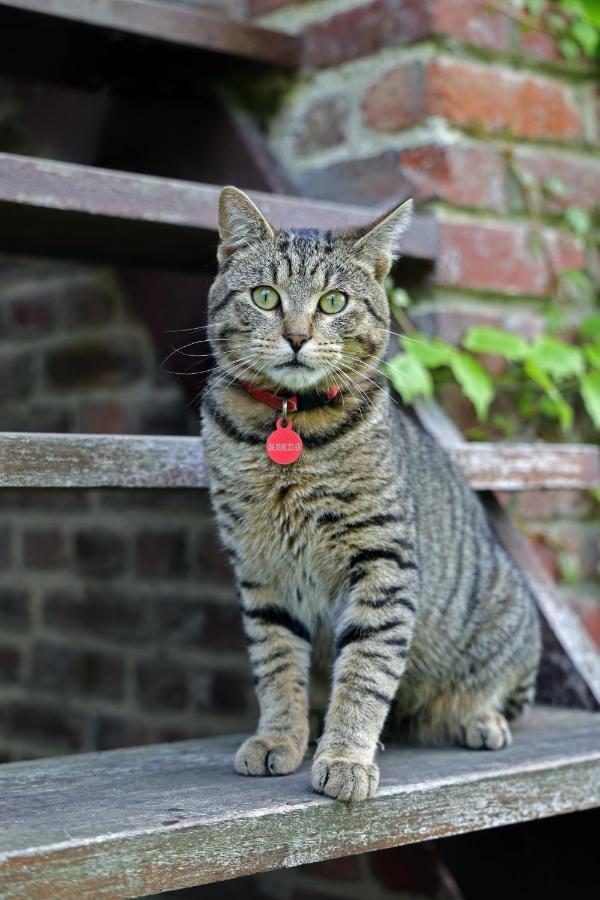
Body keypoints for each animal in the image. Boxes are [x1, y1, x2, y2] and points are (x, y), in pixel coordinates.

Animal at [200, 188, 540, 800]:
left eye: (333, 302)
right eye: (266, 297)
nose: (296, 336)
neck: (291, 425)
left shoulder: (383, 560)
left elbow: (364, 671)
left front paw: (345, 758)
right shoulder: (260, 571)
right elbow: (276, 665)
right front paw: (280, 736)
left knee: (492, 693)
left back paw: (477, 718)